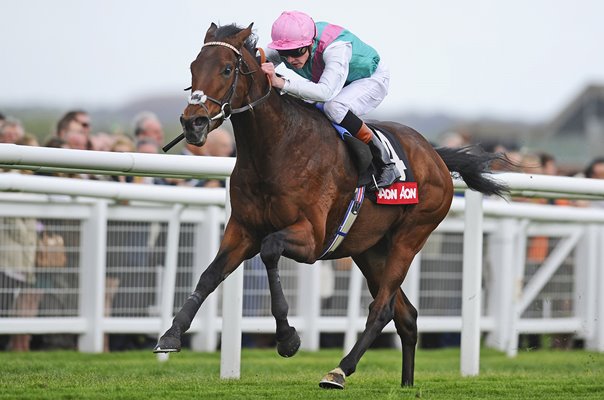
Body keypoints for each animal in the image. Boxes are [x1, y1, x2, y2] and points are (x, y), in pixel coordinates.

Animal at [153, 21, 508, 388]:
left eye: (226, 69)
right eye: (193, 67)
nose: (192, 123)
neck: (276, 149)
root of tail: (436, 155)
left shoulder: (311, 238)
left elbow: (270, 249)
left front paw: (288, 338)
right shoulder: (242, 229)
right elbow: (209, 275)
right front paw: (171, 334)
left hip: (410, 238)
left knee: (382, 308)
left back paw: (339, 370)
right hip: (369, 250)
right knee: (406, 315)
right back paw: (406, 383)